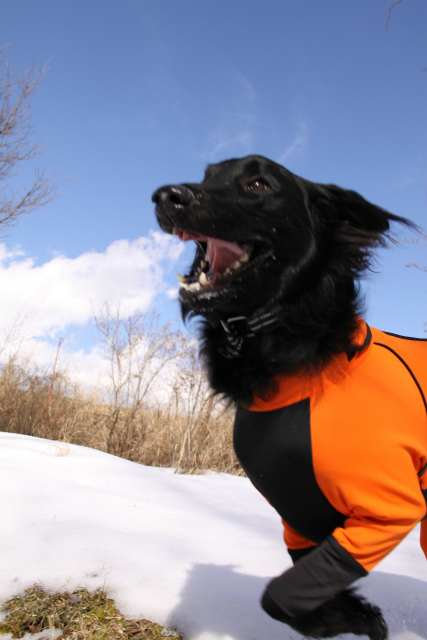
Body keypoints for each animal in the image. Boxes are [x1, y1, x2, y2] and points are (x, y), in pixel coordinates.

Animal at [155, 155, 427, 640]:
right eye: (208, 175)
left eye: (258, 183)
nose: (166, 196)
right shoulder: (299, 516)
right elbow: (298, 594)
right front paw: (351, 615)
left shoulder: (391, 507)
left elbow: (280, 596)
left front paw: (361, 619)